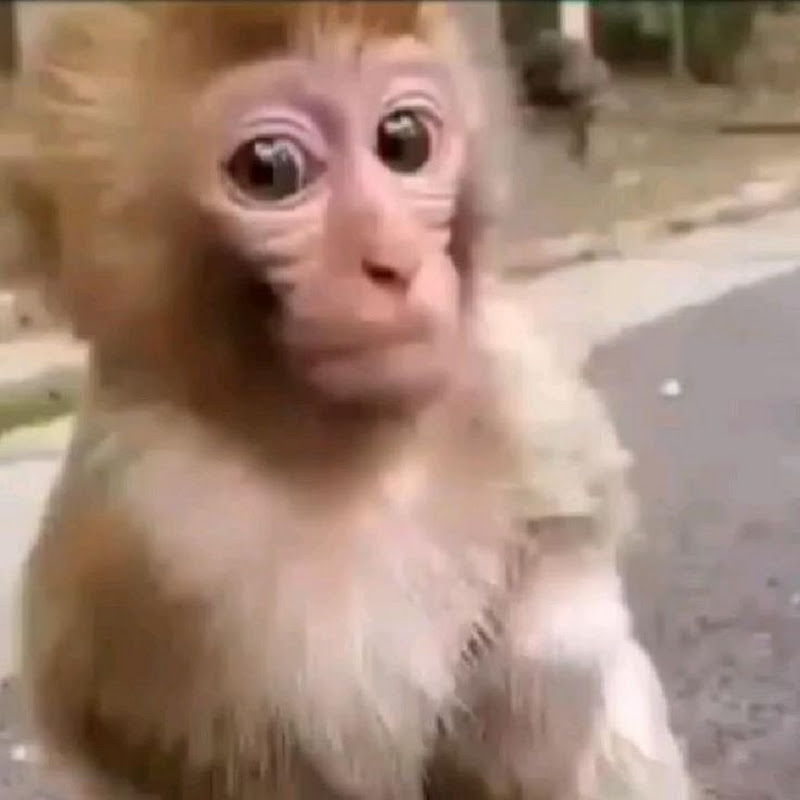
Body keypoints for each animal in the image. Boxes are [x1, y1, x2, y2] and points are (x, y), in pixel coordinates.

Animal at [0, 2, 691, 798]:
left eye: (404, 141)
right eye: (269, 170)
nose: (395, 259)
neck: (346, 450)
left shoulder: (527, 396)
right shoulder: (152, 540)